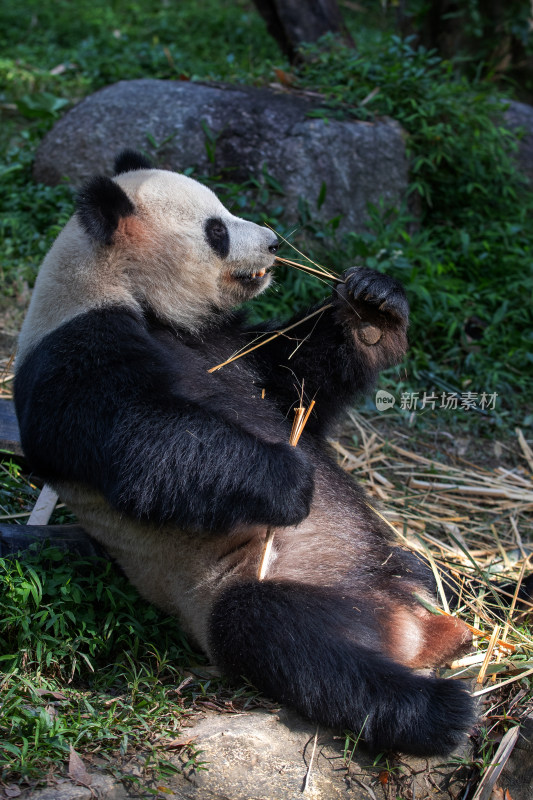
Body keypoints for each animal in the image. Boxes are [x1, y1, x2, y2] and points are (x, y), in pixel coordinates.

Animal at [15, 150, 474, 756]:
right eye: (217, 230)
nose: (275, 242)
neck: (121, 288)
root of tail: (409, 627)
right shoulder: (75, 353)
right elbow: (143, 443)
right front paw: (292, 479)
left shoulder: (229, 347)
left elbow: (301, 377)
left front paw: (372, 306)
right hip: (236, 585)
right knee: (293, 642)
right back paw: (439, 712)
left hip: (396, 558)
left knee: (445, 577)